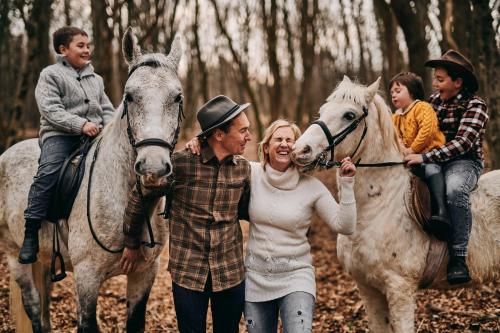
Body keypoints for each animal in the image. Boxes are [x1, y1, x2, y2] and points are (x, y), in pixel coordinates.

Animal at [0, 28, 184, 332]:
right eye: (129, 96)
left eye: (177, 97)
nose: (153, 167)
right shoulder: (87, 277)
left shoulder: (145, 273)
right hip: (15, 255)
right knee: (33, 306)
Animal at [292, 75, 498, 332]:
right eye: (322, 111)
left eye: (349, 115)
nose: (299, 151)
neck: (376, 209)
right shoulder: (367, 288)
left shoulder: (400, 289)